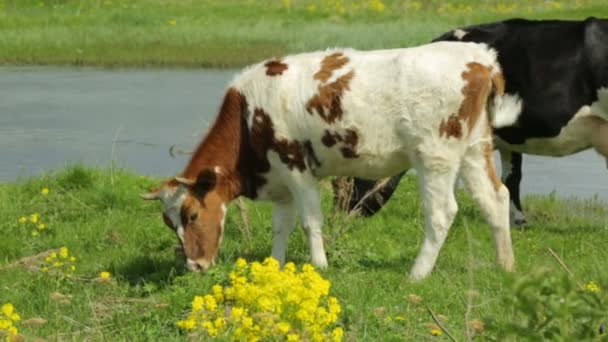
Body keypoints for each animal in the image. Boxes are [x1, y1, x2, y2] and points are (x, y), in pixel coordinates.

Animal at [144, 40, 524, 280]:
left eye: (192, 215)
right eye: (169, 222)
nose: (194, 265)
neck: (249, 113)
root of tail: (481, 58)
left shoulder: (296, 166)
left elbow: (310, 222)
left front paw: (320, 265)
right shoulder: (280, 179)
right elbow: (281, 226)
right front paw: (274, 265)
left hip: (435, 155)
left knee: (443, 212)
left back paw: (416, 275)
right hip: (476, 148)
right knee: (495, 198)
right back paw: (505, 266)